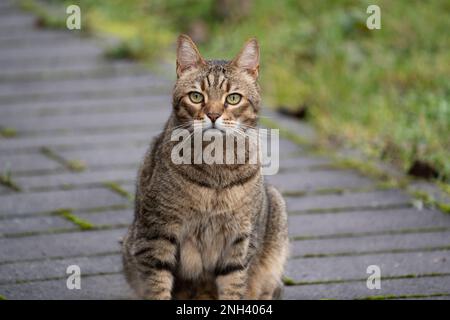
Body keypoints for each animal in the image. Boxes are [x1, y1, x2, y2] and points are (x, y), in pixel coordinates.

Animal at [121, 35, 288, 300]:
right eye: (196, 97)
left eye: (233, 98)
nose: (213, 114)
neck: (216, 162)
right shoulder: (156, 233)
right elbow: (157, 285)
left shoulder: (239, 241)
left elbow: (234, 286)